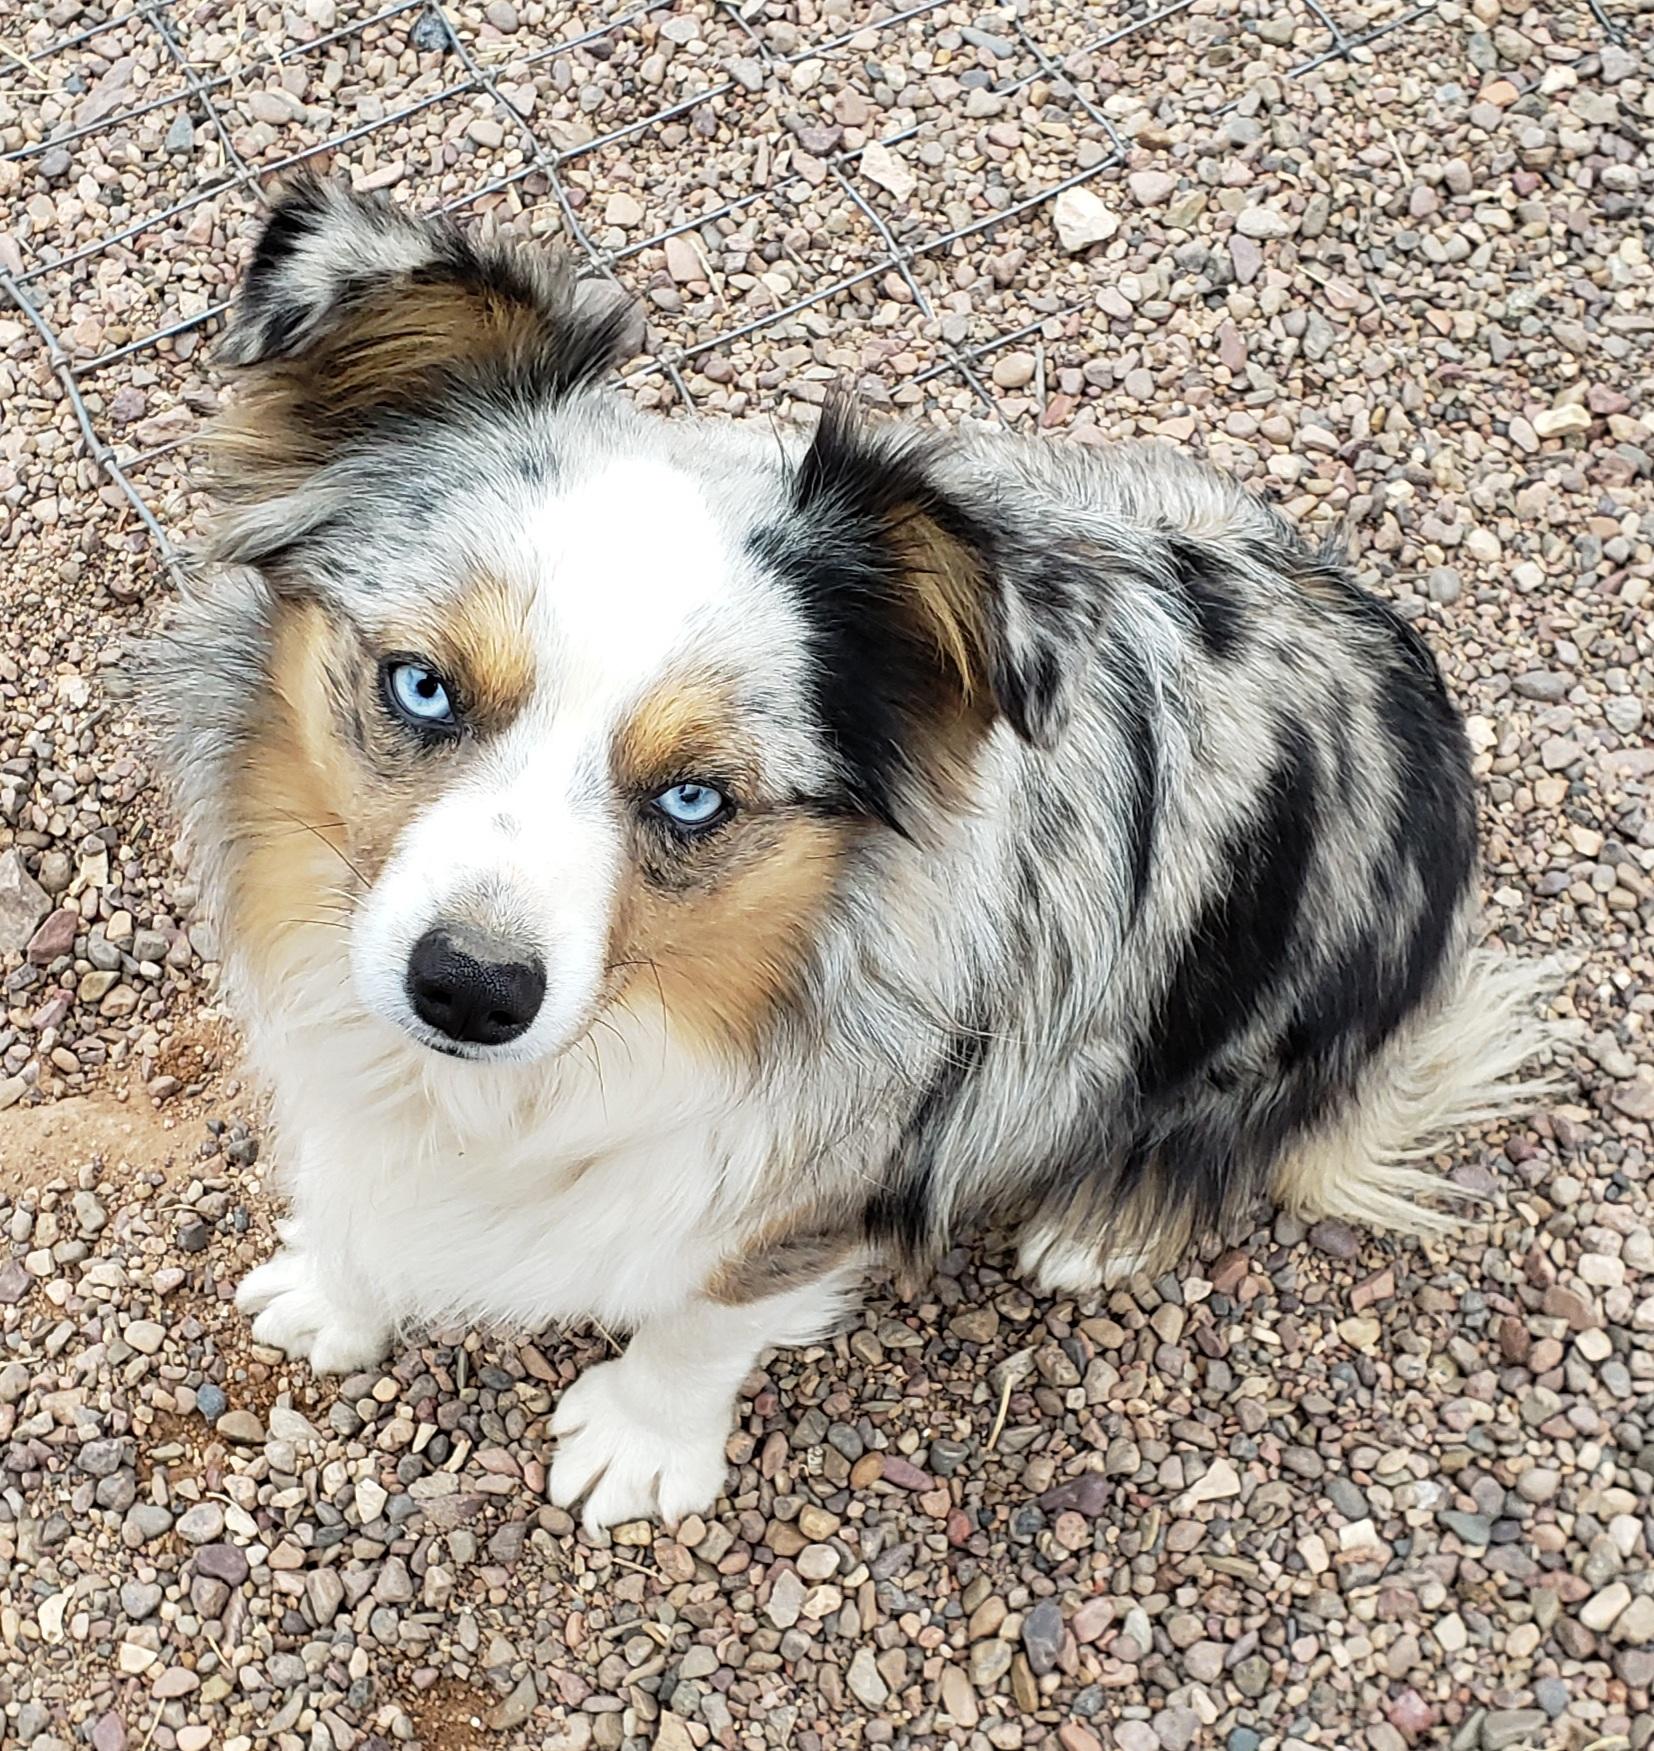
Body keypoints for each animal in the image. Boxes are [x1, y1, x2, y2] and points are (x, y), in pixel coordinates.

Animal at [150, 175, 1554, 1532]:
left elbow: (711, 1308)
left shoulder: (840, 1165)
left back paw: (1097, 1226)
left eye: (696, 797)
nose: (469, 991)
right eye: (423, 686)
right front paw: (334, 1289)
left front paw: (640, 1444)